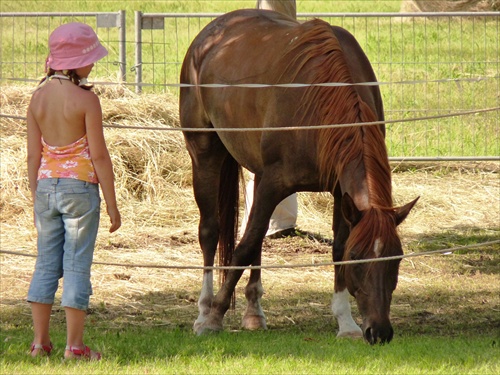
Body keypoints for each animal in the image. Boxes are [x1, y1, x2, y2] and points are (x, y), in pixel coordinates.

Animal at [180, 8, 418, 346]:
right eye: (358, 258)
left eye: (396, 258)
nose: (379, 332)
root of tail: (211, 34)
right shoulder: (273, 183)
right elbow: (244, 246)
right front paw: (215, 316)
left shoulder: (340, 192)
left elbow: (334, 248)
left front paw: (345, 322)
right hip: (204, 154)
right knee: (211, 232)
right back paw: (203, 310)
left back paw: (254, 312)